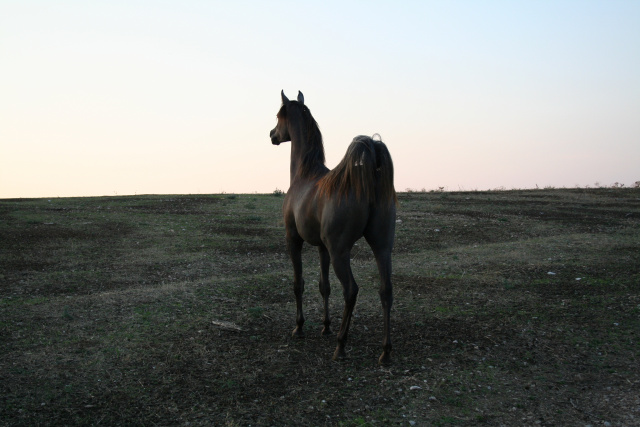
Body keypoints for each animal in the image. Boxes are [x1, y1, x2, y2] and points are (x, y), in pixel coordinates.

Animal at [268, 90, 398, 364]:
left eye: (278, 116)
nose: (272, 134)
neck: (304, 173)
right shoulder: (322, 247)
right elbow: (323, 286)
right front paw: (326, 326)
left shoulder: (293, 240)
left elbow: (299, 283)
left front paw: (300, 327)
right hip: (382, 248)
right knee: (386, 291)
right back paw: (385, 351)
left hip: (341, 252)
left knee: (351, 290)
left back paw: (341, 344)